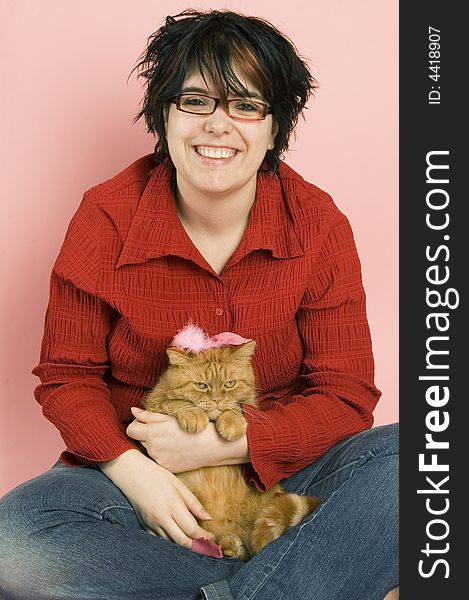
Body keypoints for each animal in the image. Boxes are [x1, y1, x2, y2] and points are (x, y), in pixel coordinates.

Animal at [142, 330, 318, 560]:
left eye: (230, 384)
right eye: (201, 385)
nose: (216, 401)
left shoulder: (250, 405)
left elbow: (237, 407)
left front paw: (231, 421)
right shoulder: (153, 404)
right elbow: (176, 402)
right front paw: (193, 413)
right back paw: (229, 545)